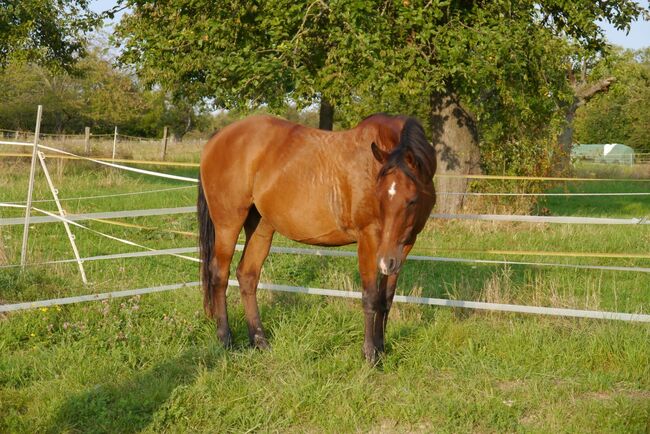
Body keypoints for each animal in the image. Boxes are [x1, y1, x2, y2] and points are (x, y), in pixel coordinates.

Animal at [196, 112, 436, 362]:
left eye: (412, 200)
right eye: (378, 196)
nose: (386, 262)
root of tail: (217, 138)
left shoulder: (404, 245)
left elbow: (386, 299)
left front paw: (381, 349)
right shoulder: (369, 239)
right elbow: (370, 297)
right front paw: (370, 354)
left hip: (261, 227)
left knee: (247, 275)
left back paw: (260, 340)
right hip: (228, 224)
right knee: (219, 275)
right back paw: (225, 338)